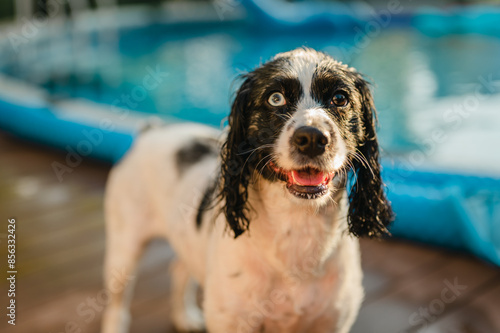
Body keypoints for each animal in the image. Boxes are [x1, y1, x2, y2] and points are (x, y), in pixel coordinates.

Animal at [100, 47, 390, 332]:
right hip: (124, 248)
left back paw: (184, 316)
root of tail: (150, 131)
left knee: (178, 268)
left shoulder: (333, 321)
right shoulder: (231, 321)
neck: (296, 228)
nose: (311, 138)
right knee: (117, 300)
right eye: (275, 98)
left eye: (340, 98)